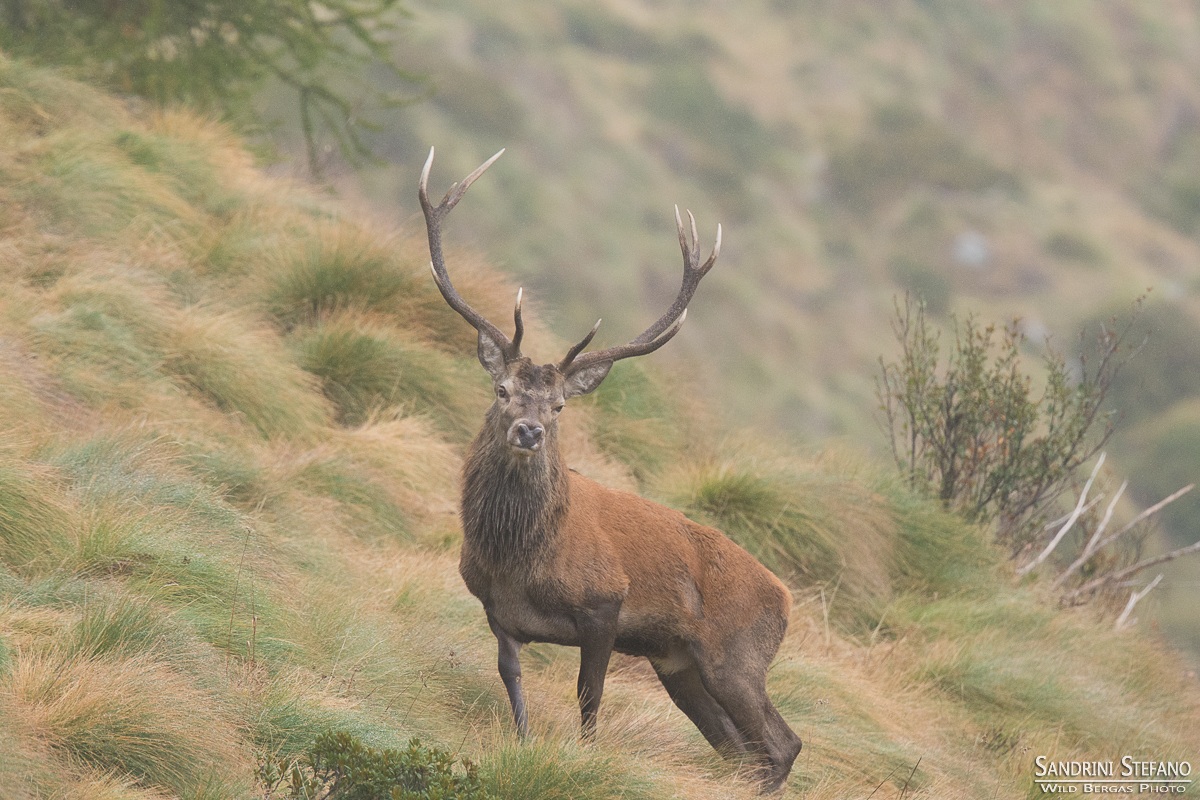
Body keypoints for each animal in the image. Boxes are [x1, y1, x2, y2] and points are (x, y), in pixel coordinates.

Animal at [419, 148, 803, 793]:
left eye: (559, 406)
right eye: (502, 390)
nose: (530, 431)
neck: (517, 558)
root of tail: (787, 598)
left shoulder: (604, 605)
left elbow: (588, 694)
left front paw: (584, 761)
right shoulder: (496, 612)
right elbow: (512, 684)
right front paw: (523, 745)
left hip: (737, 657)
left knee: (783, 744)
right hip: (679, 665)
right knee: (739, 749)